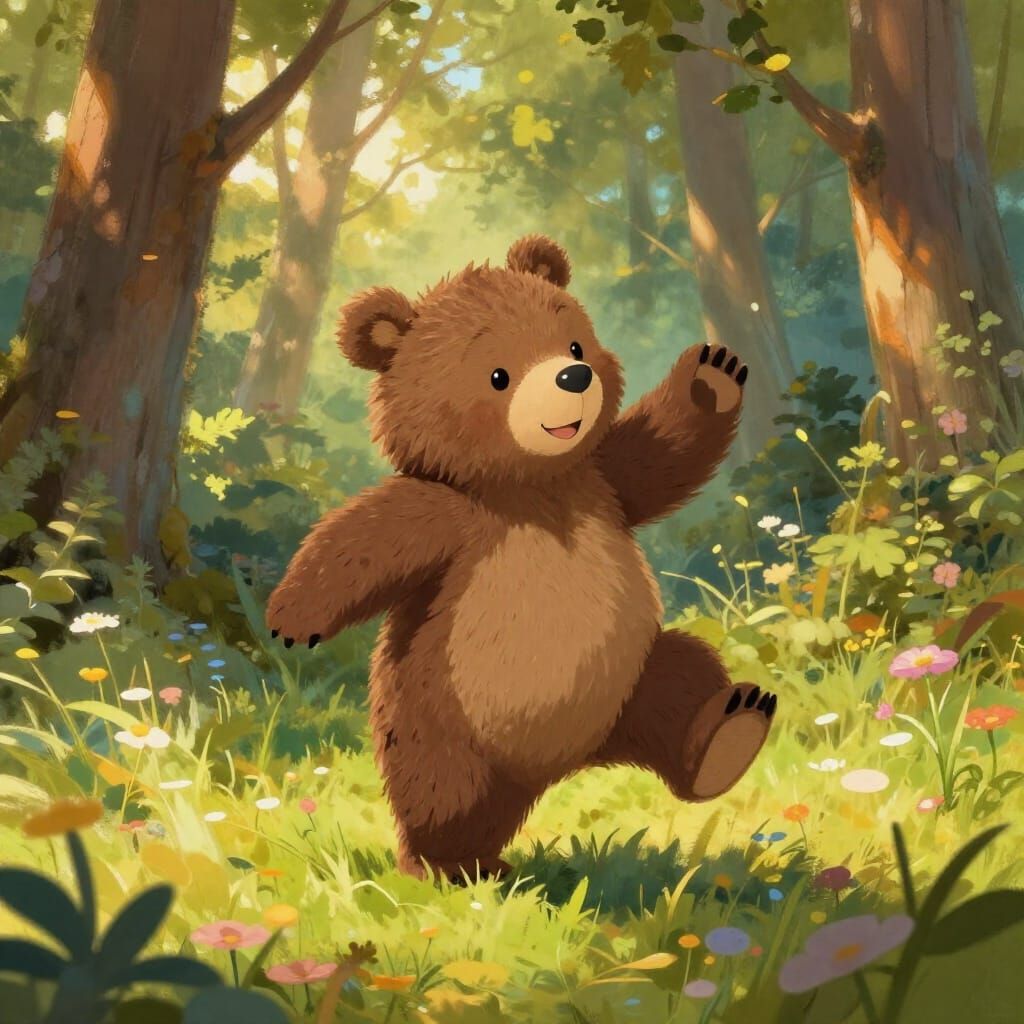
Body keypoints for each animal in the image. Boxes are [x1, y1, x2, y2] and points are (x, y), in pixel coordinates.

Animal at [266, 235, 776, 880]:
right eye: (497, 374)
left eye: (574, 342)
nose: (574, 375)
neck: (532, 486)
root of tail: (567, 762)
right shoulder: (454, 517)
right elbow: (372, 536)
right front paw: (291, 617)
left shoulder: (601, 482)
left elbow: (659, 455)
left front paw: (714, 375)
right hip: (441, 713)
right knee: (440, 792)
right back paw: (448, 866)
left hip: (629, 681)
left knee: (682, 678)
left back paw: (726, 735)